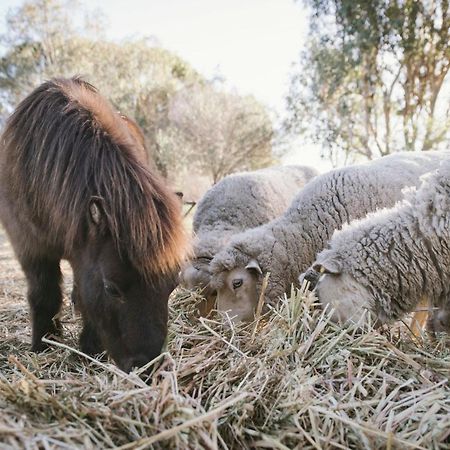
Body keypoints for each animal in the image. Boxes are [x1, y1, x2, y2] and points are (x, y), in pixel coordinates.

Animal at [0, 77, 187, 372]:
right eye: (111, 288)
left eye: (172, 285)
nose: (147, 368)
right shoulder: (29, 246)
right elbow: (44, 294)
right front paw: (43, 345)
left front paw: (88, 350)